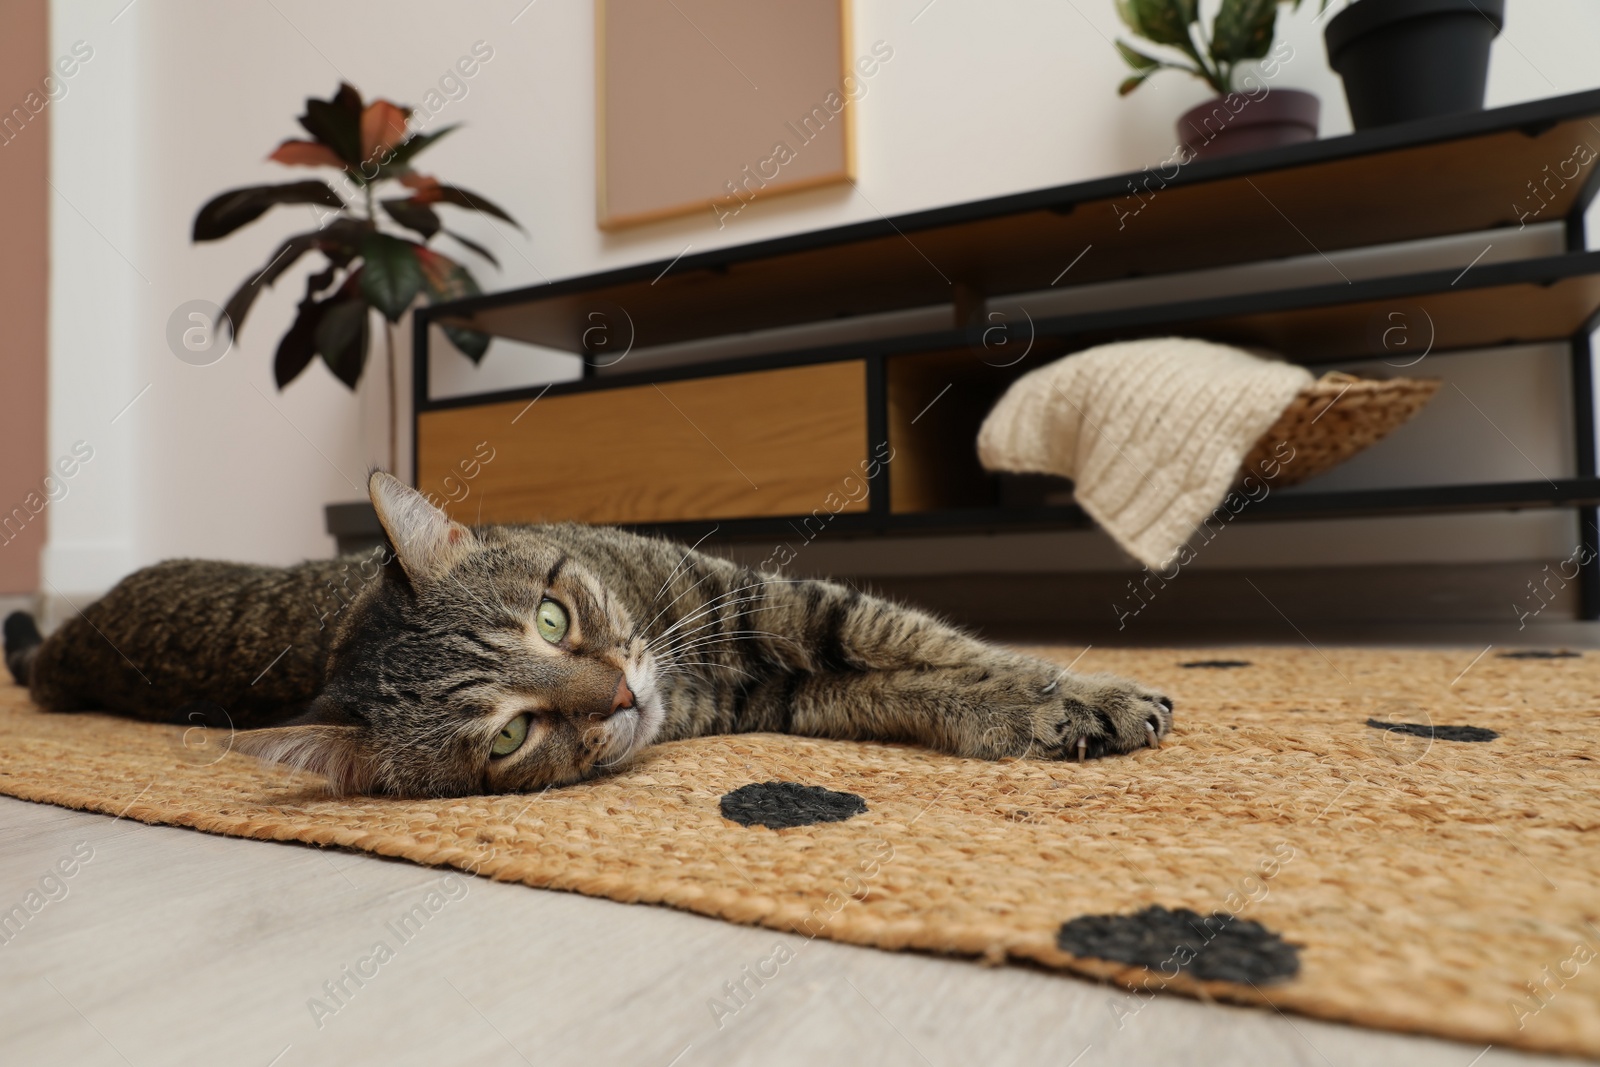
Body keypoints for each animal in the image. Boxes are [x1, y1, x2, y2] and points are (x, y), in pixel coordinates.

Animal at [3, 470, 1177, 796]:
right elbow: (940, 681)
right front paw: (1057, 710)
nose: (618, 694)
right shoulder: (806, 674)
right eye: (510, 734)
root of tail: (64, 640)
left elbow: (956, 650)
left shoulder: (781, 602)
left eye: (556, 616)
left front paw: (1090, 690)